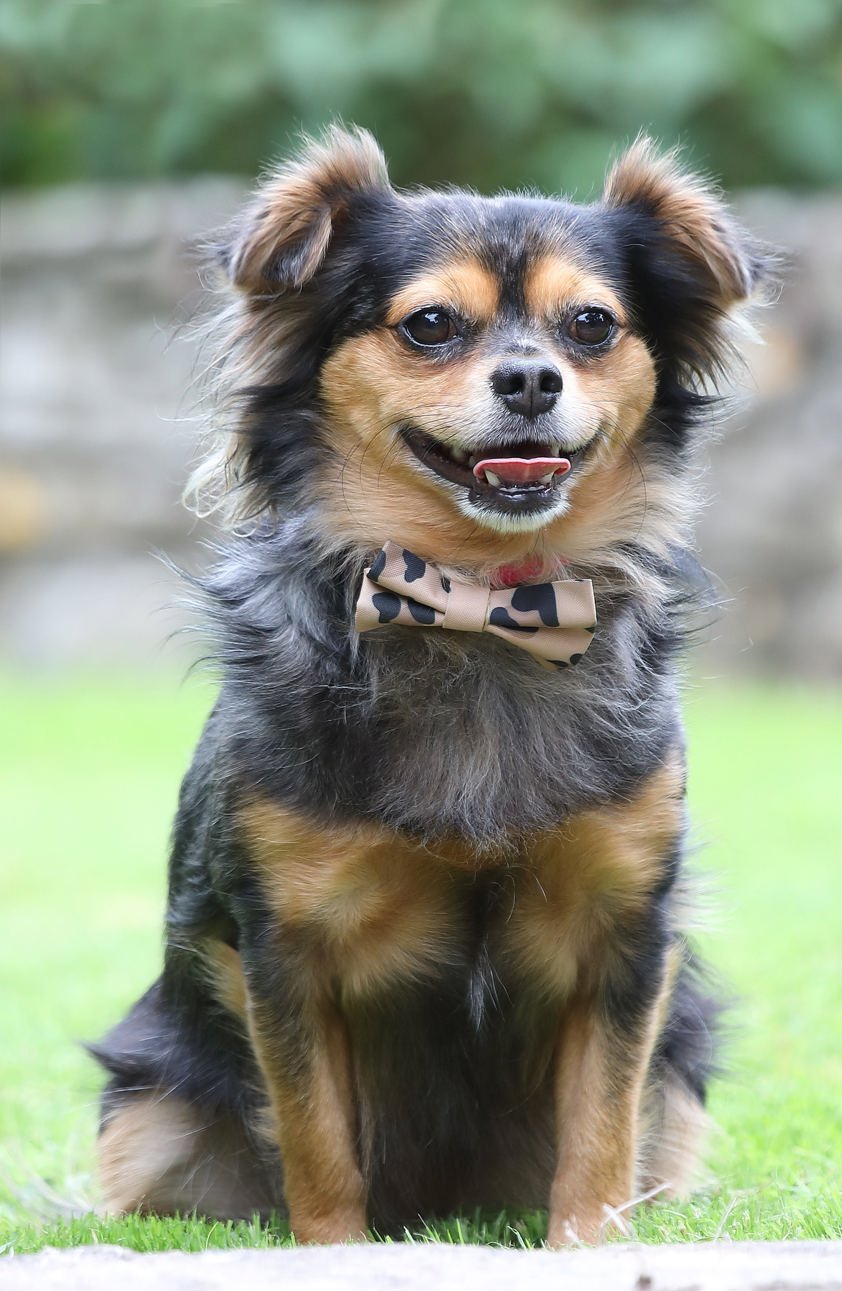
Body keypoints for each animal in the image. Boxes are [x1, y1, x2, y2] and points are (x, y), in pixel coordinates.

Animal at [92, 125, 774, 1244]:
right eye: (429, 326)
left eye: (591, 325)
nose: (531, 379)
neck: (480, 602)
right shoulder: (284, 946)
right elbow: (317, 1136)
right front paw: (334, 1249)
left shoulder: (625, 936)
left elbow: (600, 1127)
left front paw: (586, 1245)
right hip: (148, 1116)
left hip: (679, 1084)